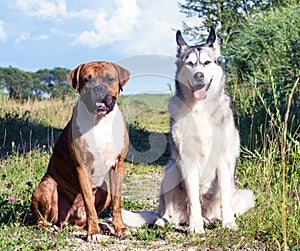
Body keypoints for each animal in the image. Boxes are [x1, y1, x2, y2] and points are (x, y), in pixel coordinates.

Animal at [31, 61, 131, 243]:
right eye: (86, 80)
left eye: (110, 79)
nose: (98, 88)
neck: (100, 122)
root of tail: (67, 221)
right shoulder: (82, 167)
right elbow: (89, 203)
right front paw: (93, 233)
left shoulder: (117, 165)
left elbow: (117, 202)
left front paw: (120, 228)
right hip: (46, 187)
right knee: (41, 220)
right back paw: (52, 228)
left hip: (104, 189)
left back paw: (102, 226)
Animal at [155, 27, 255, 233]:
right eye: (190, 63)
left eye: (207, 63)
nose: (199, 75)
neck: (200, 110)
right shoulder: (187, 160)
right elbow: (193, 199)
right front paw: (195, 226)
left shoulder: (223, 160)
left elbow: (224, 197)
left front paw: (228, 223)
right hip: (170, 170)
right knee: (168, 211)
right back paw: (165, 221)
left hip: (244, 194)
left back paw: (214, 219)